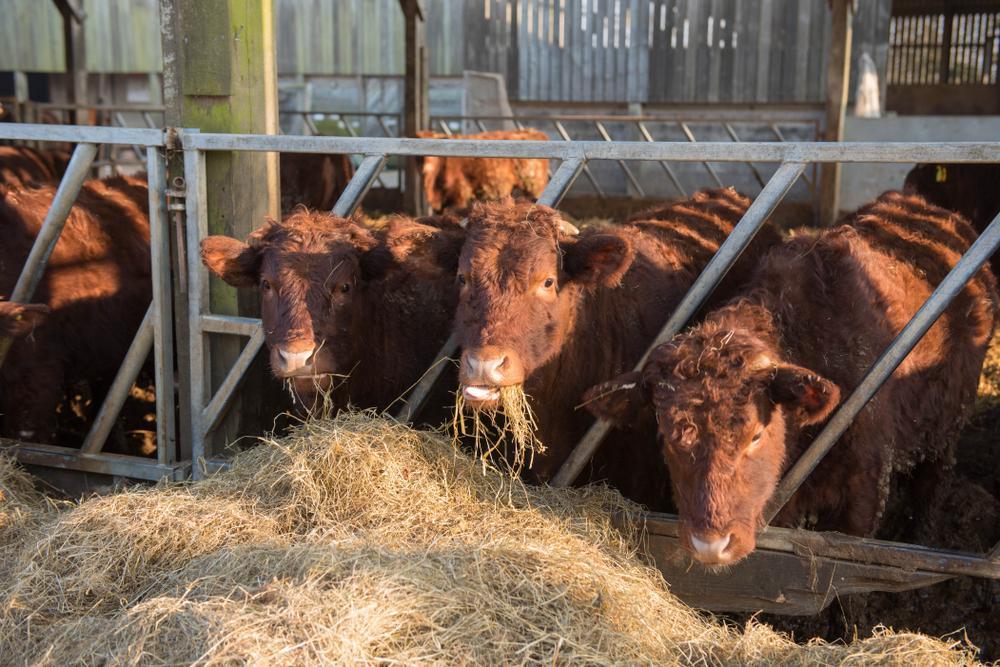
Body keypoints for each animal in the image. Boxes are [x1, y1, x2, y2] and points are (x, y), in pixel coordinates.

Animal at [584, 191, 997, 565]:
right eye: (667, 436)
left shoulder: (864, 496)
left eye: (756, 435)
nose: (710, 545)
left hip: (947, 426)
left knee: (931, 486)